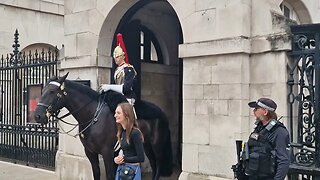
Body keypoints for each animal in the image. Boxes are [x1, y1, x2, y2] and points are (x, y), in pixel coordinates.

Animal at [34, 73, 172, 180]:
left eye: (52, 91)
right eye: (42, 91)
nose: (38, 116)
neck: (92, 116)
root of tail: (162, 112)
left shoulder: (107, 152)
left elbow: (110, 175)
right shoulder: (90, 152)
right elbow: (96, 174)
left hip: (157, 145)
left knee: (158, 164)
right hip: (146, 145)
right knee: (153, 164)